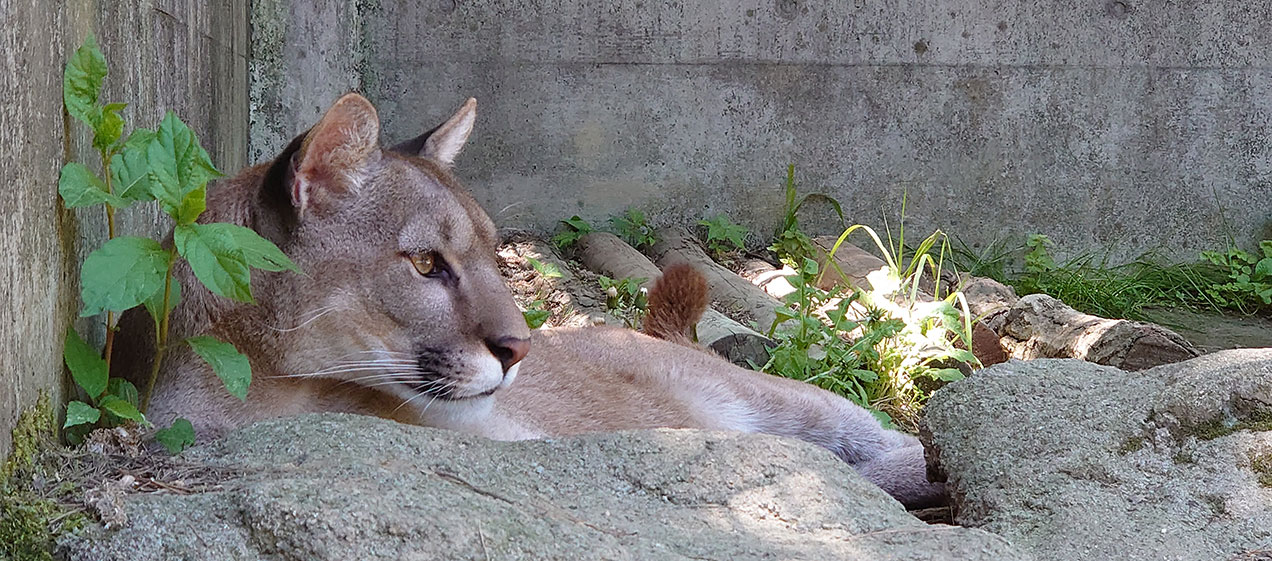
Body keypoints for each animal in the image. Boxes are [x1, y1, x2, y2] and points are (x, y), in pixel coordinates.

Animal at [117, 92, 946, 506]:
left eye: (492, 253)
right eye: (427, 262)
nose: (519, 347)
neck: (262, 386)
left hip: (789, 401)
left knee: (884, 439)